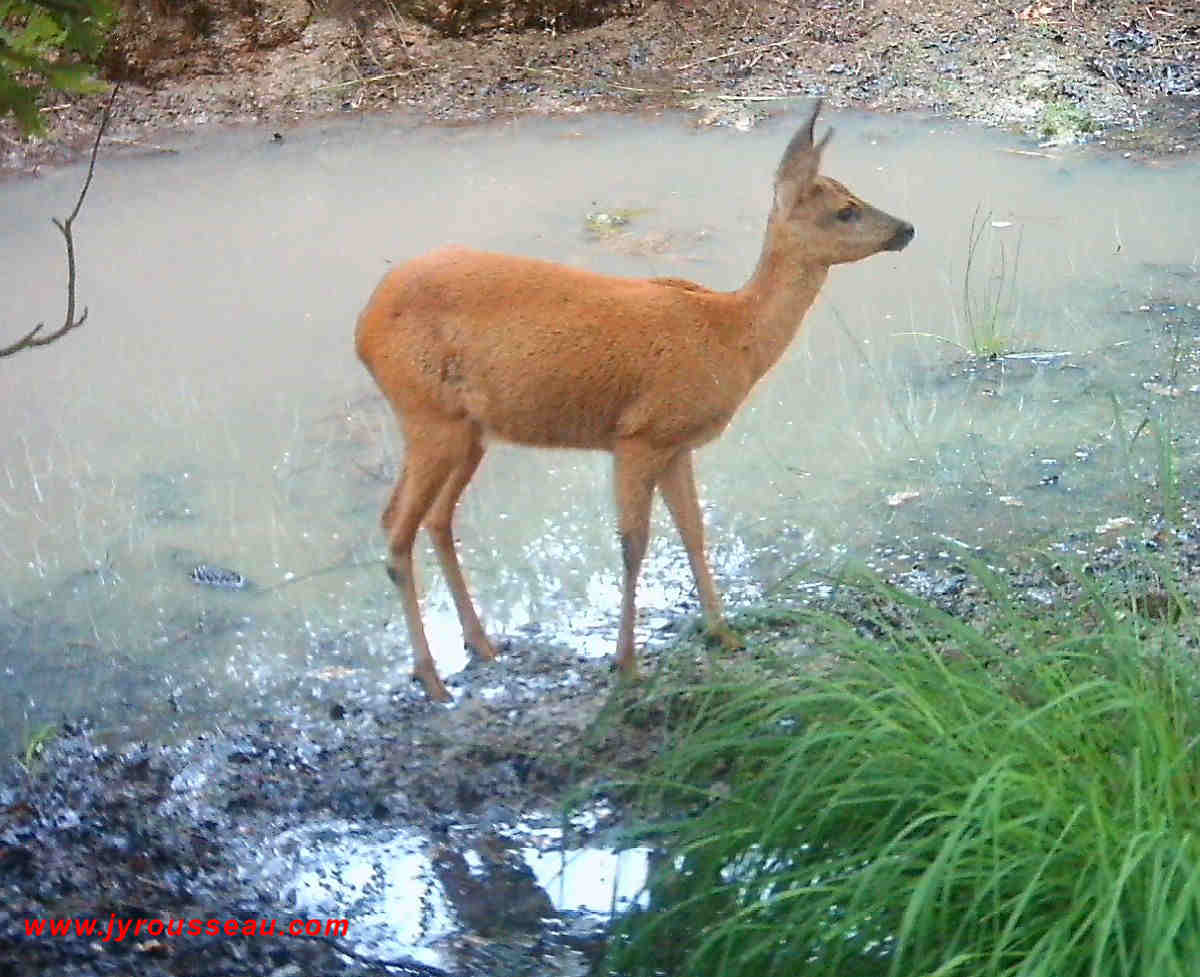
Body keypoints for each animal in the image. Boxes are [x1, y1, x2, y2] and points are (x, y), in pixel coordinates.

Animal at [352, 101, 907, 705]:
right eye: (845, 210)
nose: (906, 229)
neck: (731, 334)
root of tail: (363, 329)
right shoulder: (640, 434)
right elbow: (633, 544)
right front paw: (627, 663)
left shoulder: (677, 443)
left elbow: (694, 531)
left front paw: (724, 633)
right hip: (428, 414)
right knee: (398, 529)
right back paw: (432, 678)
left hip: (468, 429)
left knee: (431, 518)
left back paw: (480, 645)